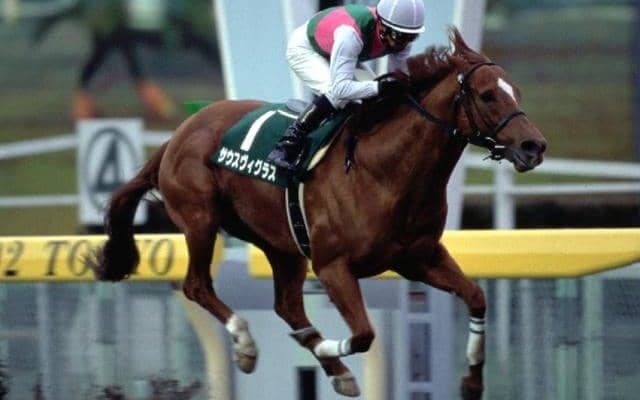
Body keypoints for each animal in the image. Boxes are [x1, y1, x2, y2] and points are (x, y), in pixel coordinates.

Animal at [89, 28, 546, 399]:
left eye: (517, 92)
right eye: (487, 95)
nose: (533, 146)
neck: (384, 170)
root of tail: (176, 136)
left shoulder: (418, 257)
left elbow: (476, 297)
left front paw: (471, 381)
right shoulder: (333, 266)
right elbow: (363, 334)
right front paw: (324, 350)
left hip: (282, 245)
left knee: (287, 305)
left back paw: (330, 365)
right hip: (200, 220)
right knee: (197, 285)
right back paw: (248, 346)